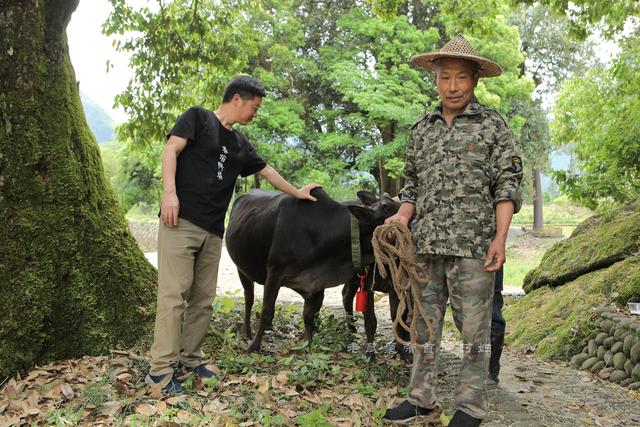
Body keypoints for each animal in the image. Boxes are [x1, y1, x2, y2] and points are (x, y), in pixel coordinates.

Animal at [226, 187, 400, 354]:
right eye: (387, 206)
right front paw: (252, 348)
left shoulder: (318, 281)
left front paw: (308, 346)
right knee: (249, 298)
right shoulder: (275, 272)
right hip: (241, 268)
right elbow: (267, 312)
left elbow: (309, 315)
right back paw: (246, 332)